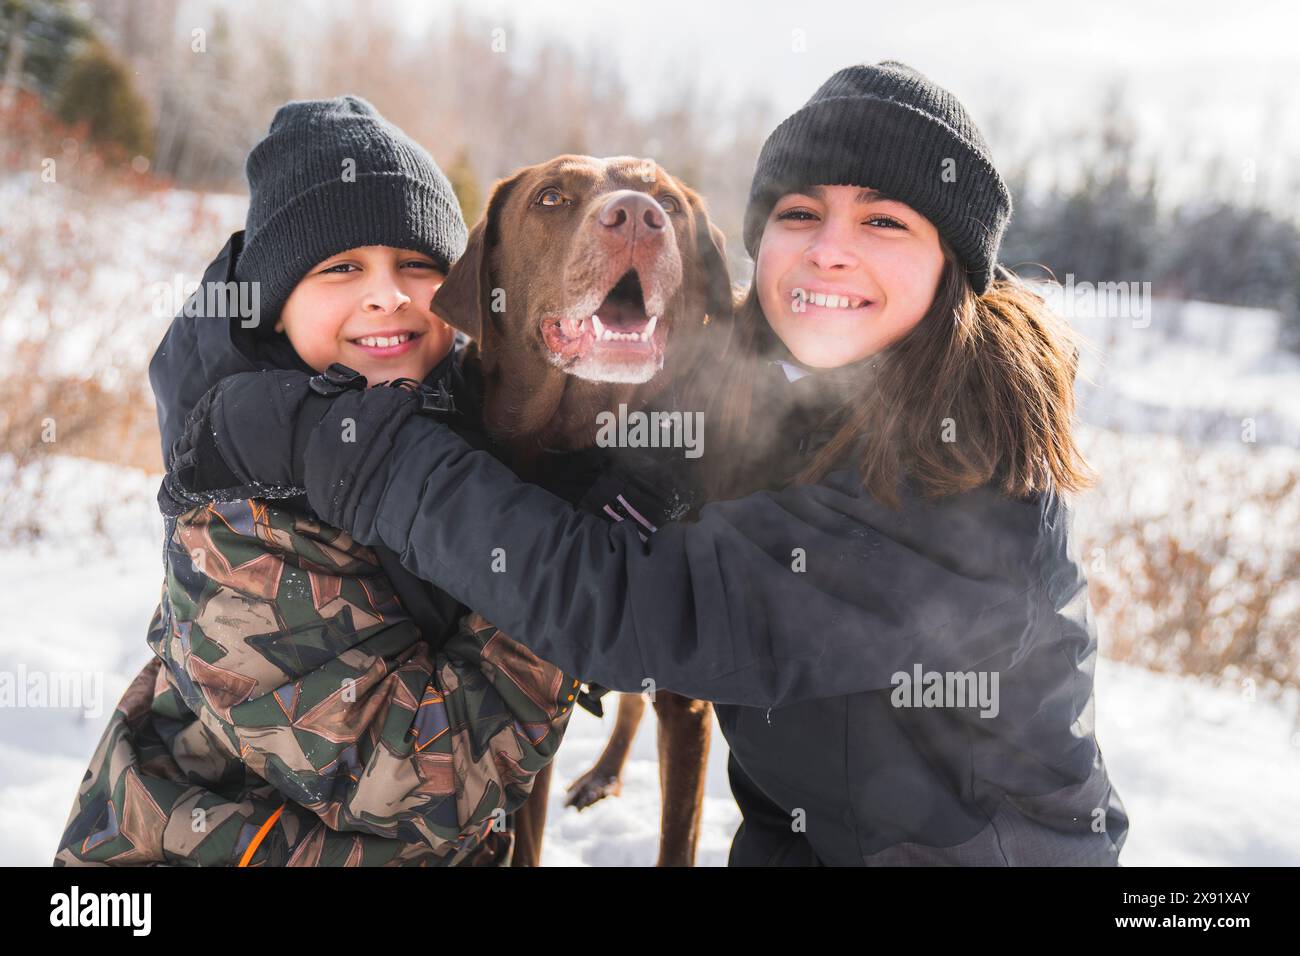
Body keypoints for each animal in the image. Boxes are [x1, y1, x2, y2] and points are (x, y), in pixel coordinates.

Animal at [428, 157, 728, 868]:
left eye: (670, 202)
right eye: (550, 198)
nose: (639, 216)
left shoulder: (689, 707)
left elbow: (678, 835)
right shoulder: (524, 708)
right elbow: (525, 835)